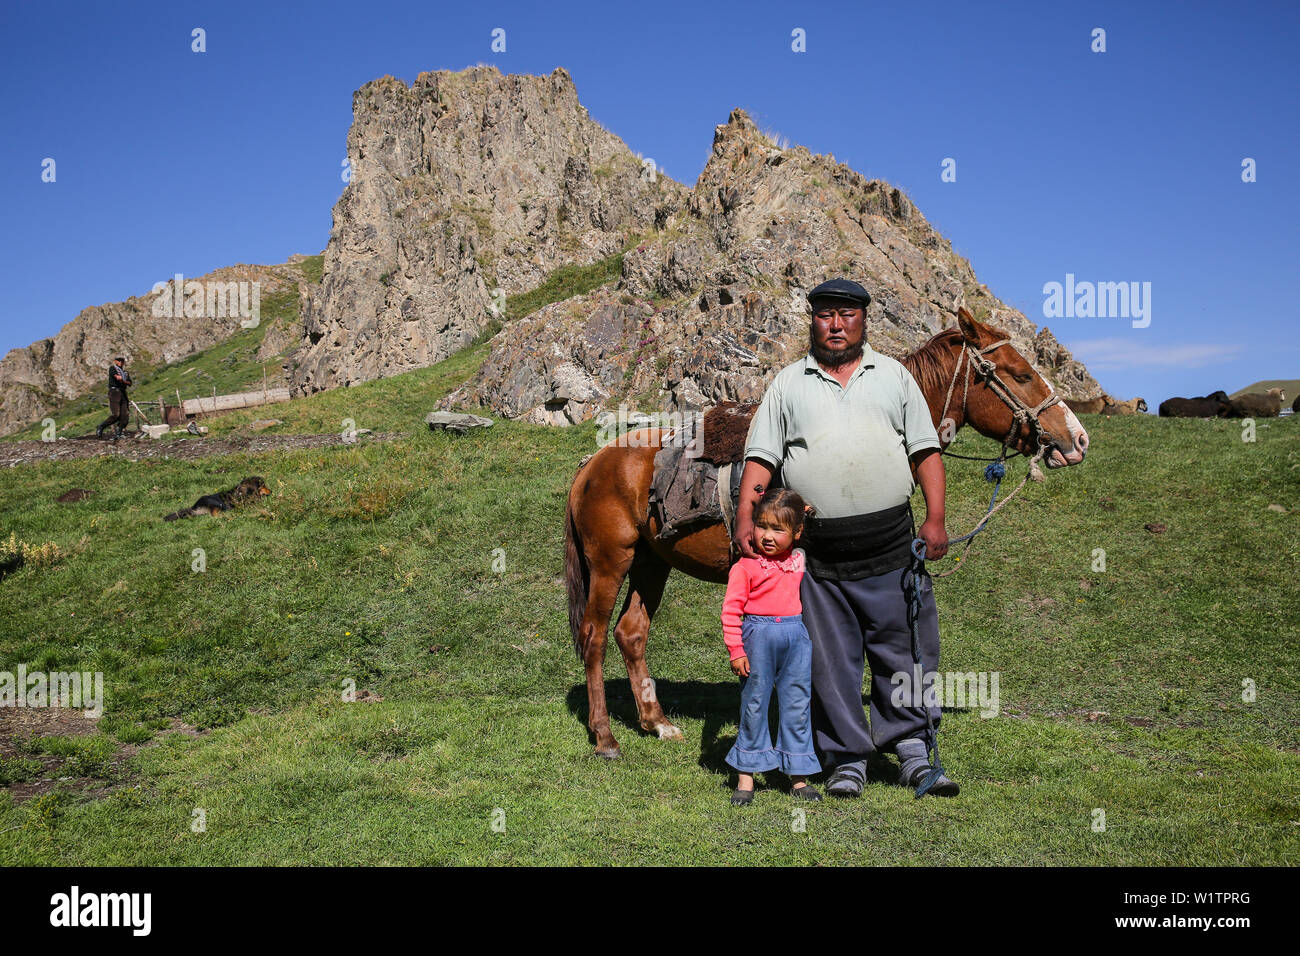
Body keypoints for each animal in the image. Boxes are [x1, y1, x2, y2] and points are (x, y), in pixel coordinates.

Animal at [564, 310, 1092, 759]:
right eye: (1020, 374)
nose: (1078, 439)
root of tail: (592, 463)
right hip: (611, 561)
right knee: (594, 636)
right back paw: (605, 737)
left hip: (652, 563)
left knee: (631, 633)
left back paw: (656, 722)